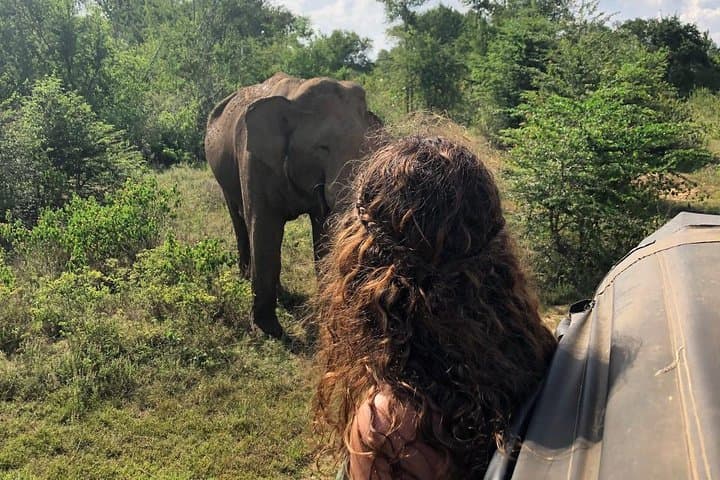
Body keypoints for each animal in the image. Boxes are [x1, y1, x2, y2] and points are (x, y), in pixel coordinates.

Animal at [204, 72, 380, 338]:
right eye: (322, 147)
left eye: (367, 147)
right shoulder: (255, 161)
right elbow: (264, 228)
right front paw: (269, 331)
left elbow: (322, 234)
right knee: (240, 220)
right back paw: (245, 278)